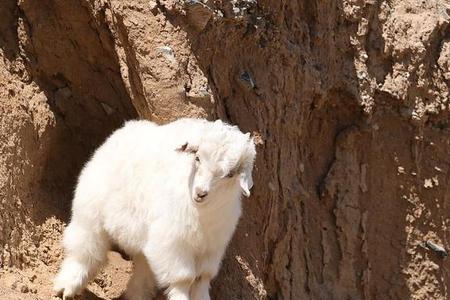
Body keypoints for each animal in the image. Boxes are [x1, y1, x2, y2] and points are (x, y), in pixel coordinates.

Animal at [53, 118, 256, 298]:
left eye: (230, 174)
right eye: (197, 158)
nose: (200, 193)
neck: (203, 213)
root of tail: (127, 127)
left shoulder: (212, 248)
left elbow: (202, 278)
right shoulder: (172, 242)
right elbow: (184, 279)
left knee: (143, 268)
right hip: (89, 210)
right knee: (85, 249)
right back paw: (66, 287)